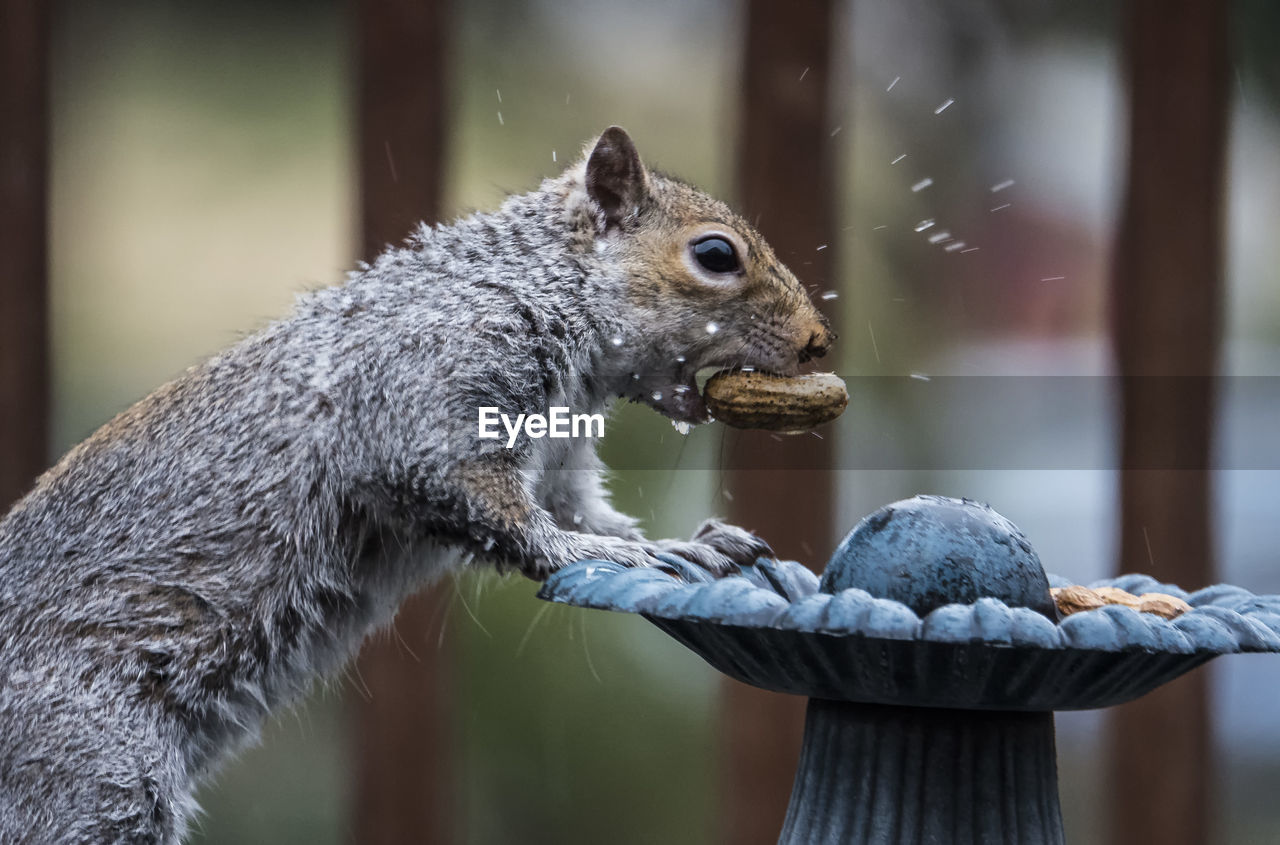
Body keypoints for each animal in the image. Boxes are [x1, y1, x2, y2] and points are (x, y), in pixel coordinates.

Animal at [0, 127, 829, 845]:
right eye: (715, 255)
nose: (818, 341)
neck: (540, 290)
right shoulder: (428, 390)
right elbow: (502, 511)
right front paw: (613, 556)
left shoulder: (560, 458)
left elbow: (580, 510)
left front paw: (687, 541)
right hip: (90, 775)